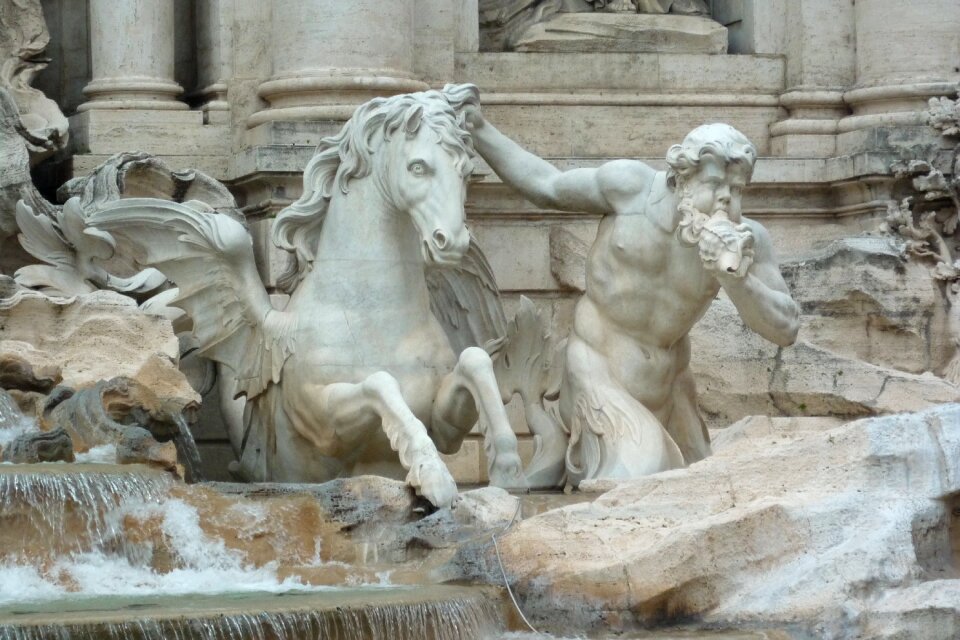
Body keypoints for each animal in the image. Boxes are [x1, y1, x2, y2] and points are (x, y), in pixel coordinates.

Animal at [82, 84, 524, 504]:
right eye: (418, 167)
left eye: (466, 170)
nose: (452, 242)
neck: (371, 311)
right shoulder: (324, 421)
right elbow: (380, 384)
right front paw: (432, 474)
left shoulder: (443, 423)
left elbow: (476, 360)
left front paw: (507, 464)